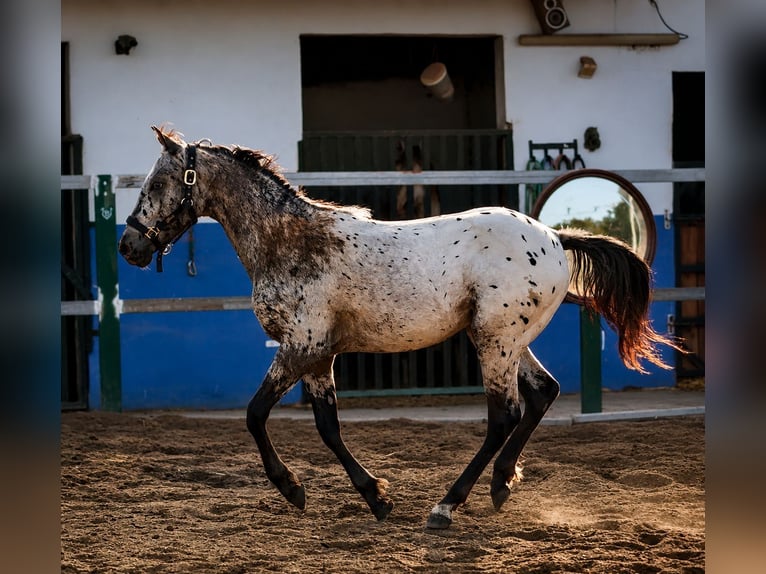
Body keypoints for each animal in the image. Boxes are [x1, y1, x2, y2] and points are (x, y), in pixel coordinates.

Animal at [119, 126, 680, 529]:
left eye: (156, 184)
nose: (129, 246)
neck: (289, 241)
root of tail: (556, 239)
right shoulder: (318, 356)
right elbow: (328, 427)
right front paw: (376, 499)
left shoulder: (300, 346)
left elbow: (256, 415)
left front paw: (294, 489)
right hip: (507, 339)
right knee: (543, 393)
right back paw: (501, 485)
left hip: (495, 341)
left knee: (505, 414)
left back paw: (446, 507)